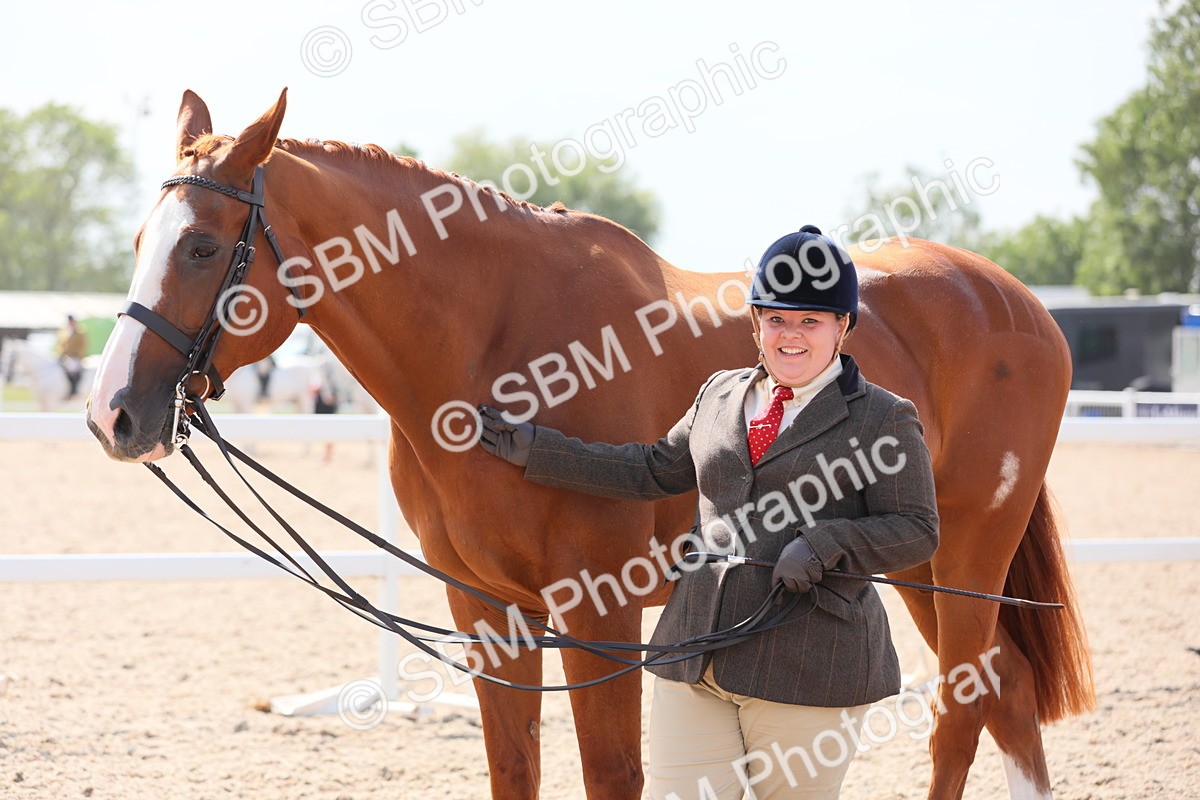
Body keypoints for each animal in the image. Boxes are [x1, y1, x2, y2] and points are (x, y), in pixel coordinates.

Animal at [85, 90, 1094, 800]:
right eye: (135, 240)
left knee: (964, 715)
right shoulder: (485, 610)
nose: (113, 415)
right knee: (1008, 702)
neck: (493, 346)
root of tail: (1011, 299)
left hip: (967, 550)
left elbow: (613, 774)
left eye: (202, 248)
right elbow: (514, 769)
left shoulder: (598, 613)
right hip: (915, 566)